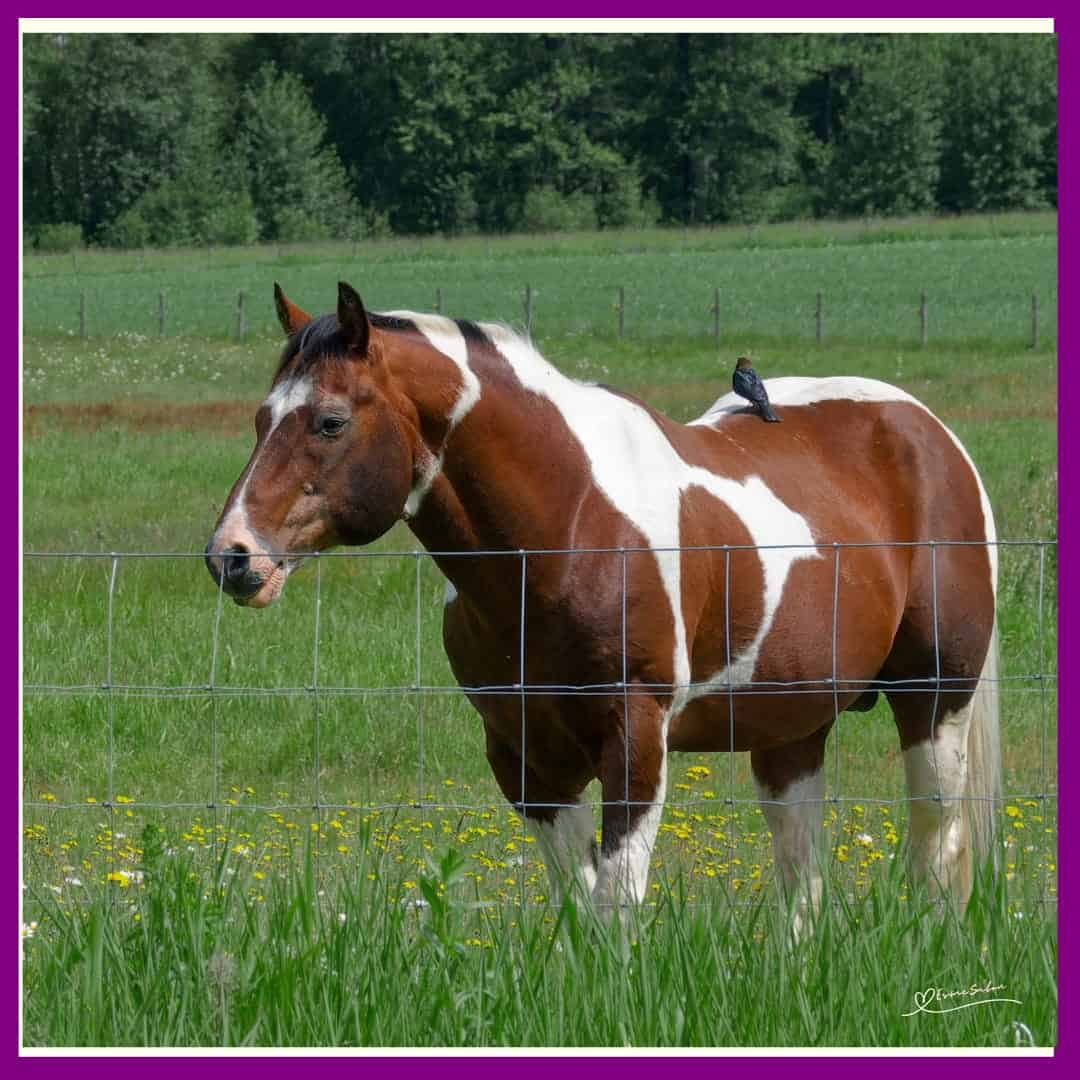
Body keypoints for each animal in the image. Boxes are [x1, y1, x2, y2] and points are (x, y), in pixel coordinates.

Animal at [205, 282, 1001, 927]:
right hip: (791, 725)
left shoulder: (635, 737)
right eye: (260, 419)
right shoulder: (526, 759)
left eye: (331, 421)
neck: (570, 525)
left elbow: (616, 903)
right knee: (802, 872)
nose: (232, 557)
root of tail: (931, 434)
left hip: (935, 699)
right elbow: (577, 902)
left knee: (937, 844)